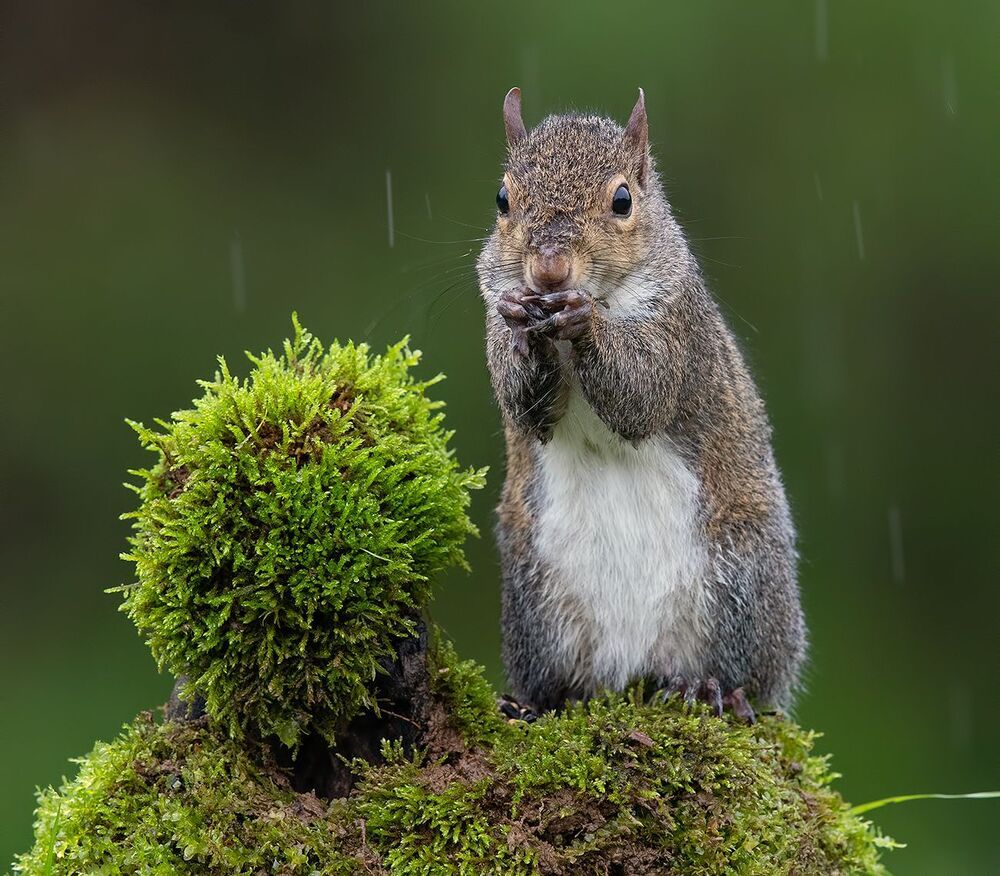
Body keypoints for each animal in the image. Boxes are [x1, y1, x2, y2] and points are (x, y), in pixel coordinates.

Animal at [478, 88, 806, 723]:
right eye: (503, 198)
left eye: (623, 200)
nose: (548, 269)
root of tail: (628, 669)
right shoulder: (493, 311)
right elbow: (523, 402)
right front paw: (529, 330)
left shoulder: (677, 328)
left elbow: (644, 391)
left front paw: (586, 325)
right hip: (536, 602)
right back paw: (536, 703)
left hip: (741, 586)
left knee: (747, 676)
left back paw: (712, 689)